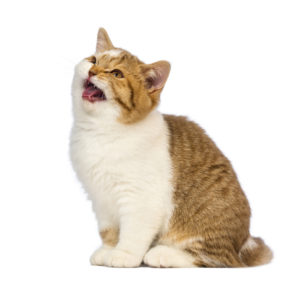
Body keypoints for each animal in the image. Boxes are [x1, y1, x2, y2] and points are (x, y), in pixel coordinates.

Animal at [69, 28, 272, 266]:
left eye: (117, 74)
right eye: (93, 60)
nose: (93, 71)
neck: (101, 131)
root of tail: (244, 244)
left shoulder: (141, 198)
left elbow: (133, 232)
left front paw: (123, 255)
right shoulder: (100, 199)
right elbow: (108, 230)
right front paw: (107, 249)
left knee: (215, 258)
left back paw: (163, 254)